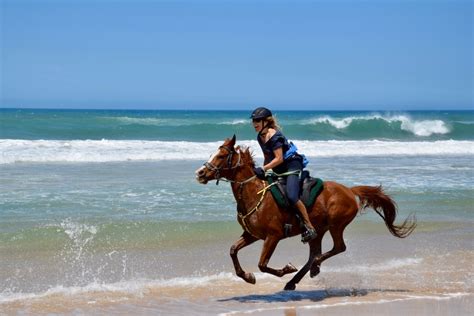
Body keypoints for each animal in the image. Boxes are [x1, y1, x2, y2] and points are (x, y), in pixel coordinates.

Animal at [194, 136, 416, 292]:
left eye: (221, 156)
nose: (200, 173)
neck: (253, 193)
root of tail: (349, 190)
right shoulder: (252, 235)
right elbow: (233, 250)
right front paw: (248, 277)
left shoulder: (273, 236)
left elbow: (263, 264)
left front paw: (286, 269)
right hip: (318, 230)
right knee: (314, 254)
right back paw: (295, 280)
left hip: (336, 225)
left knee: (337, 248)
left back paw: (311, 269)